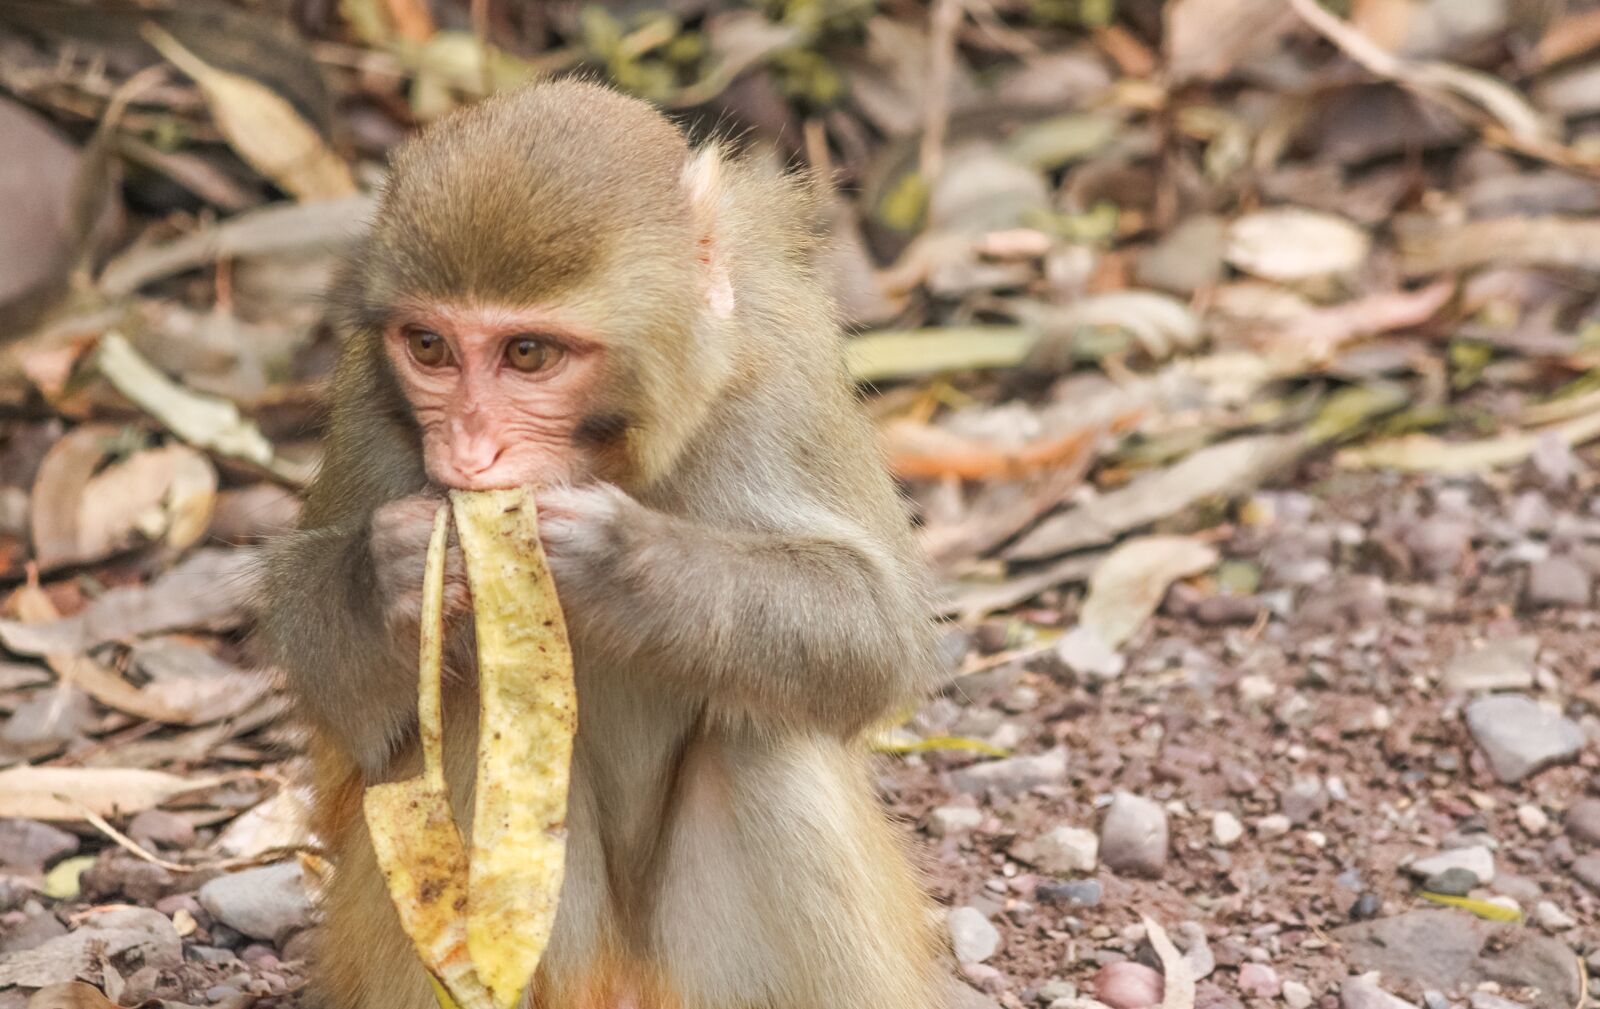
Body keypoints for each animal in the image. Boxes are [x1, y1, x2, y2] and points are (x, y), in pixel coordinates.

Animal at [257, 80, 953, 1009]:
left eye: (527, 353)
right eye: (429, 346)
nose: (469, 451)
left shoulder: (782, 369)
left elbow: (879, 632)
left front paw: (622, 564)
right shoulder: (371, 394)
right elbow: (331, 680)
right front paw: (395, 571)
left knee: (764, 739)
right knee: (474, 717)